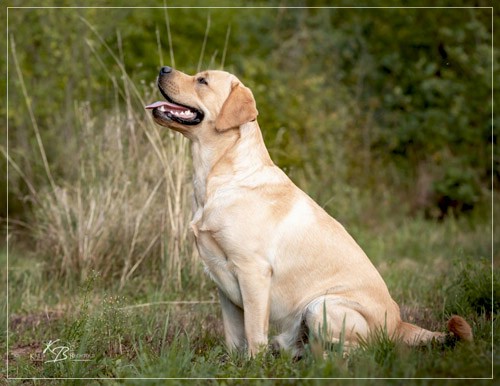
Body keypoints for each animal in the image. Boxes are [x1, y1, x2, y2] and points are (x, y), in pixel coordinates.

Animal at [146, 65, 472, 356]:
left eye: (202, 80)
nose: (163, 68)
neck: (218, 178)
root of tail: (400, 324)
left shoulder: (252, 272)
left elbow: (253, 333)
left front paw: (253, 368)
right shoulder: (221, 280)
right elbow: (233, 336)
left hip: (321, 306)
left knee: (362, 351)